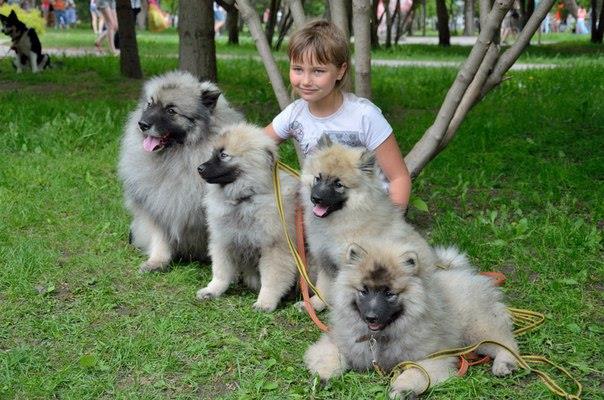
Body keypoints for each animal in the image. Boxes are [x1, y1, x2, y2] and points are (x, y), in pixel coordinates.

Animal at [118, 70, 243, 274]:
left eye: (171, 111)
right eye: (150, 104)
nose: (142, 124)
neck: (178, 157)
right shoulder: (157, 205)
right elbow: (160, 237)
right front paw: (157, 262)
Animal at [196, 123, 300, 310]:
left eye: (224, 155)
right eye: (212, 153)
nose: (199, 168)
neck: (244, 199)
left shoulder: (275, 248)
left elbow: (272, 279)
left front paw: (265, 302)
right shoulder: (223, 241)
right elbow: (220, 272)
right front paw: (212, 290)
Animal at [306, 239, 520, 398]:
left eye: (389, 294)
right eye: (364, 291)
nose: (371, 317)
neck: (380, 337)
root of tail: (466, 274)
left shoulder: (433, 358)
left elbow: (415, 372)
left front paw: (401, 388)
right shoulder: (337, 342)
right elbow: (330, 357)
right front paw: (323, 377)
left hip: (478, 330)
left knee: (507, 344)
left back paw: (504, 364)